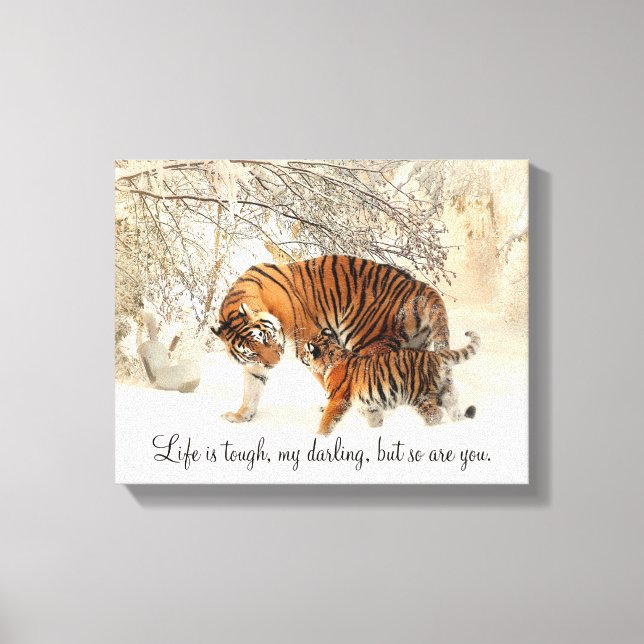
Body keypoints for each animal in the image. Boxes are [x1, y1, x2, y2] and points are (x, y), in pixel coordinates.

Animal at [210, 255, 452, 423]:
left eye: (267, 338)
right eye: (252, 352)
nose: (275, 363)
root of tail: (420, 286)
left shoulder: (309, 344)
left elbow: (328, 378)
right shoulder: (256, 365)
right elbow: (252, 388)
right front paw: (242, 416)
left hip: (368, 341)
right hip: (415, 348)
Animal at [301, 329, 480, 435]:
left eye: (305, 351)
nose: (301, 357)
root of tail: (435, 355)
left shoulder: (337, 400)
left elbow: (327, 420)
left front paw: (319, 436)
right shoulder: (371, 405)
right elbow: (375, 420)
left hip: (419, 396)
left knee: (434, 415)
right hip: (445, 391)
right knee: (454, 410)